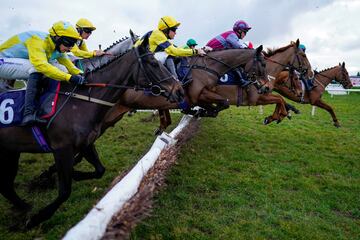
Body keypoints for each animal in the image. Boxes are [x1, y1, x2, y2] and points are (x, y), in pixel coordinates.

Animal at [0, 31, 186, 228]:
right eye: (154, 63)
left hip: (10, 150)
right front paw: (38, 217)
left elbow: (99, 170)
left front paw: (71, 174)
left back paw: (24, 206)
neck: (81, 99)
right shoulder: (62, 148)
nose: (180, 90)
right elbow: (65, 191)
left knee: (6, 185)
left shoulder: (86, 143)